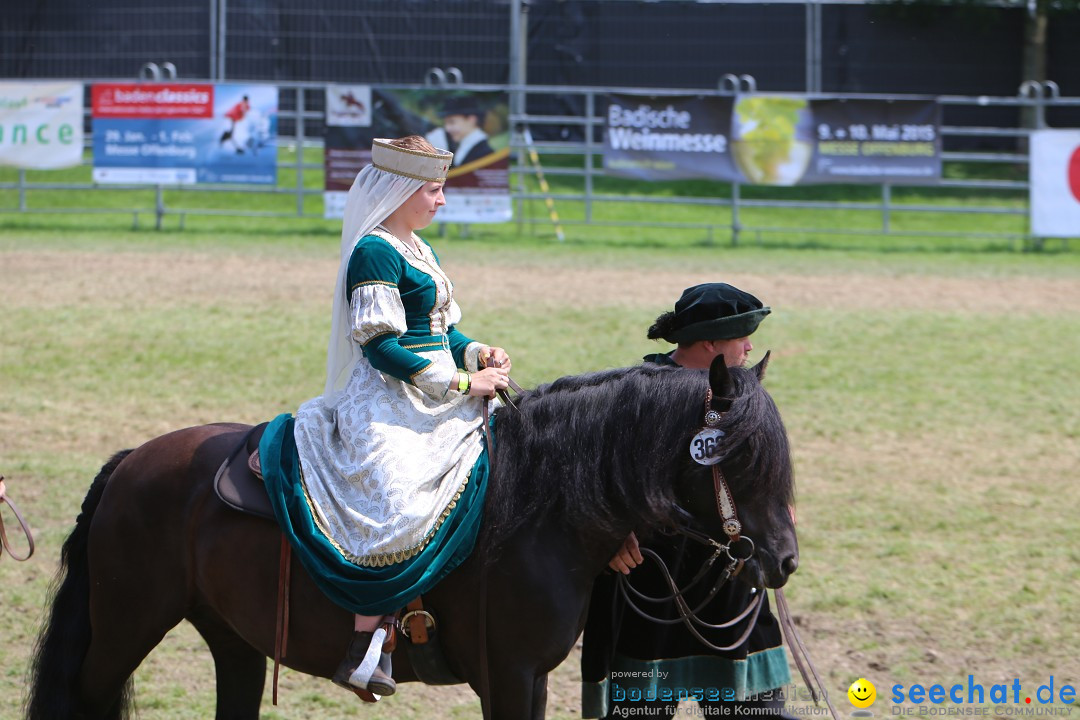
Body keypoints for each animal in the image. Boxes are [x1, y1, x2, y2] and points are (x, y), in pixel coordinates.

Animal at [29, 358, 799, 716]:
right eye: (740, 457)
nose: (783, 559)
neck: (537, 509)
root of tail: (134, 460)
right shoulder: (506, 676)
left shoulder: (531, 679)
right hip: (126, 626)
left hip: (233, 640)